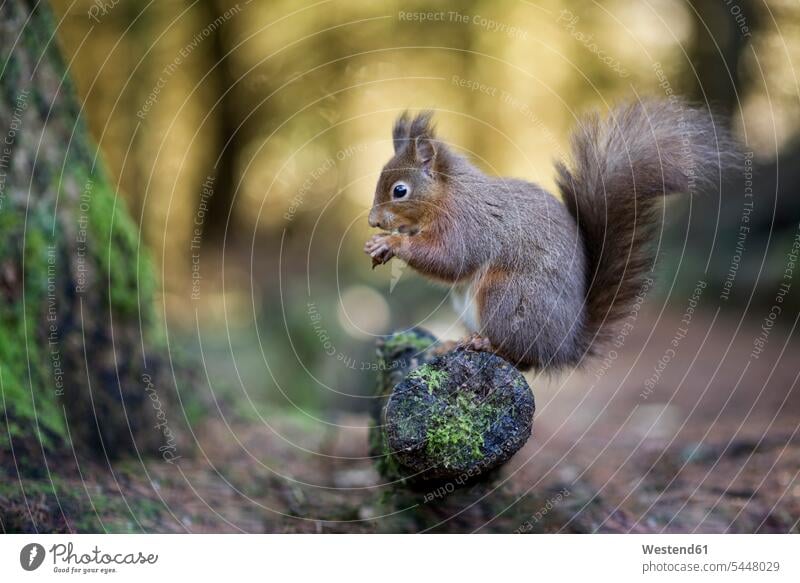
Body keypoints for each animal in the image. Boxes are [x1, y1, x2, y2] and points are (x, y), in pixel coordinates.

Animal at [366, 101, 736, 372]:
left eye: (400, 191)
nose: (372, 222)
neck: (447, 195)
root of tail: (565, 346)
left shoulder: (468, 224)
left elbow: (450, 259)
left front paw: (393, 243)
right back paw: (453, 342)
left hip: (507, 297)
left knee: (522, 357)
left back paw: (486, 344)